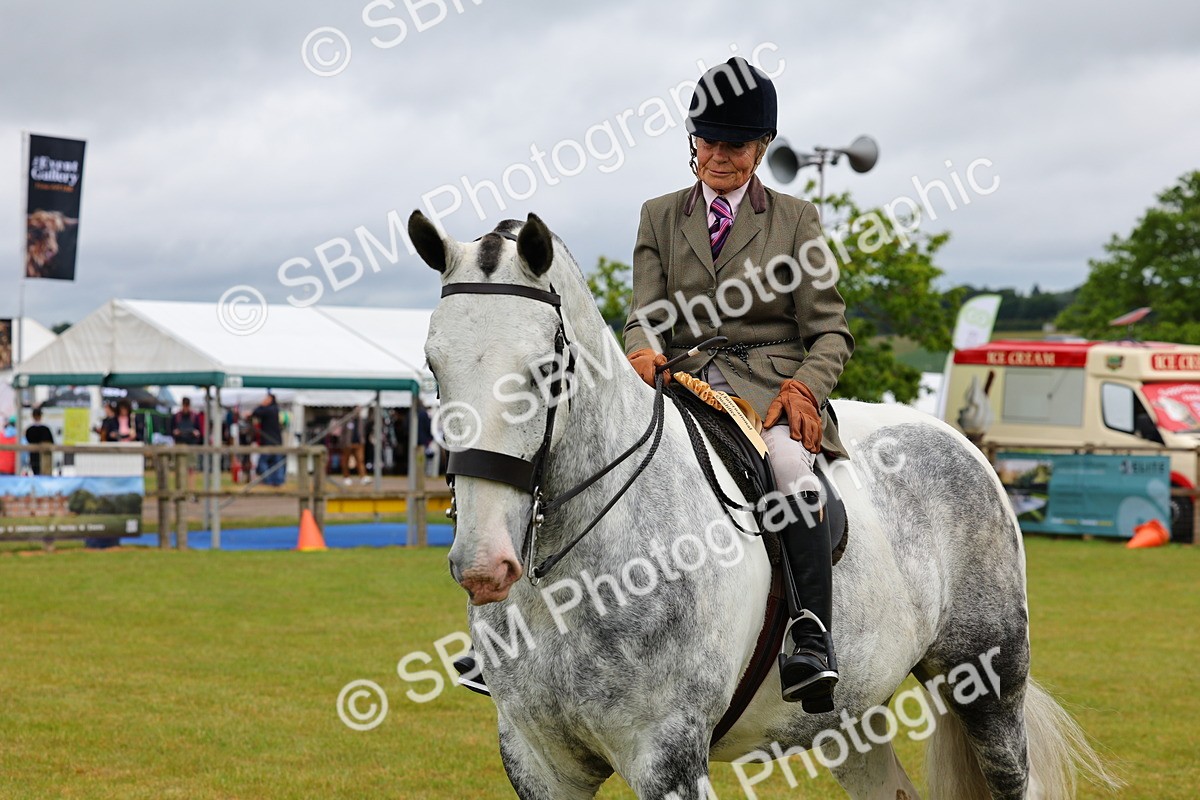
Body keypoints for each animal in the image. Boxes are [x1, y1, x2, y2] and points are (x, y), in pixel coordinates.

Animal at [408, 209, 1116, 800]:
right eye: (434, 368)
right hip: (848, 715)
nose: (484, 564)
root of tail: (963, 443)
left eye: (546, 372)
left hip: (986, 682)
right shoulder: (538, 762)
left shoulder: (667, 759)